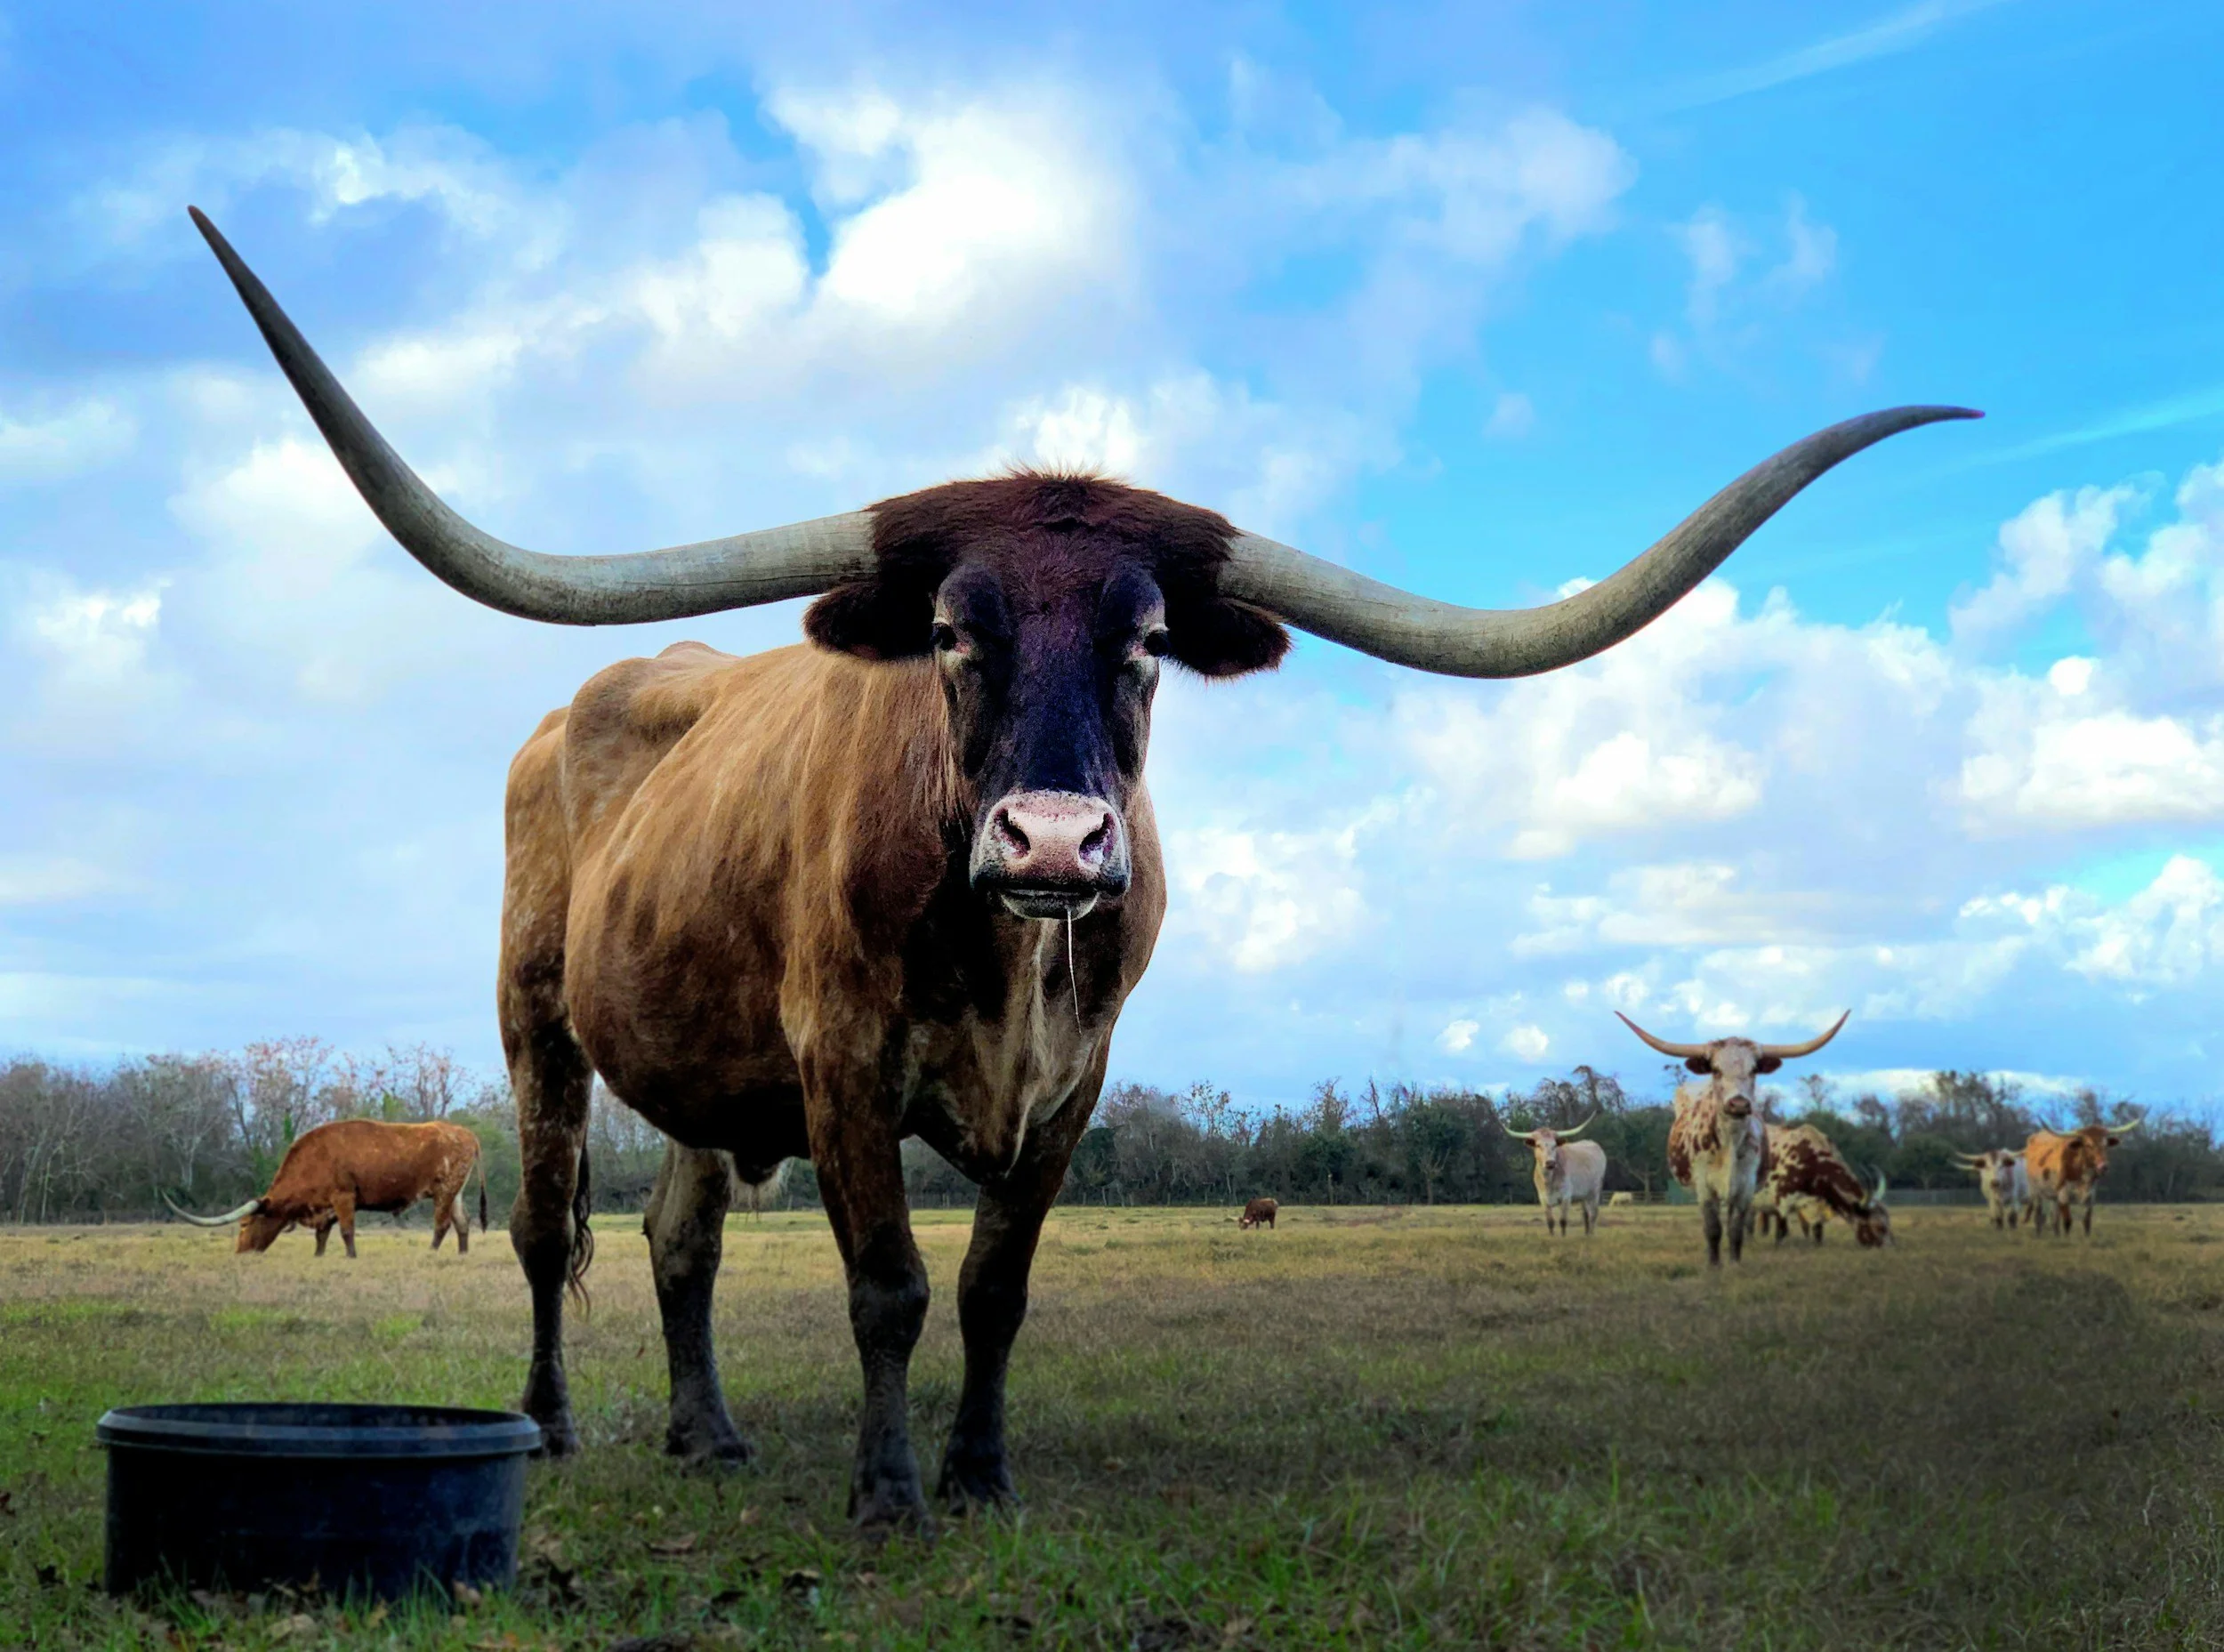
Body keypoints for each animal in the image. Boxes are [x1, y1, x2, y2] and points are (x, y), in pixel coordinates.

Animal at [165, 1118, 486, 1258]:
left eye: (244, 1224)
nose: (240, 1253)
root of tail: (466, 1134)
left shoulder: (343, 1198)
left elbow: (346, 1232)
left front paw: (351, 1257)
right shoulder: (324, 1207)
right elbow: (321, 1236)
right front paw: (318, 1257)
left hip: (444, 1191)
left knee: (442, 1224)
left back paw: (430, 1253)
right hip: (456, 1193)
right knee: (462, 1222)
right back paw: (463, 1254)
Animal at [1503, 1116, 1606, 1236]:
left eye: (1555, 1145)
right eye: (1538, 1145)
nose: (1550, 1163)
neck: (1548, 1180)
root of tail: (1592, 1143)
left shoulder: (1566, 1197)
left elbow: (1563, 1221)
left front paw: (1563, 1237)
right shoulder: (1543, 1199)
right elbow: (1550, 1222)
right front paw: (1552, 1236)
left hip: (1595, 1191)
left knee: (1593, 1214)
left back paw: (1591, 1235)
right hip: (1583, 1195)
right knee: (1585, 1214)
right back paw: (1586, 1234)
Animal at [1617, 1013, 1850, 1265]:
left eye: (1753, 1070)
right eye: (1716, 1070)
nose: (1738, 1104)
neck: (1729, 1141)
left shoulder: (1745, 1187)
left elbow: (1736, 1228)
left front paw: (1734, 1263)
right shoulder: (1704, 1187)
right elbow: (1712, 1228)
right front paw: (1714, 1264)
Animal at [1756, 1123, 1891, 1247]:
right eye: (1879, 1227)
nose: (1887, 1248)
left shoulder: (1815, 1206)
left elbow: (1817, 1231)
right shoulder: (1782, 1201)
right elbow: (1781, 1232)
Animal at [2024, 1119, 2140, 1237]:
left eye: (2105, 1145)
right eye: (2088, 1145)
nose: (2103, 1167)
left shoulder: (2091, 1194)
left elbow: (2087, 1221)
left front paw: (2086, 1238)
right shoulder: (2063, 1193)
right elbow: (2067, 1221)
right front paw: (2067, 1239)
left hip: (2054, 1196)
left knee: (2054, 1218)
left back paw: (2056, 1235)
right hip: (2036, 1191)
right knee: (2039, 1215)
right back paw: (2039, 1234)